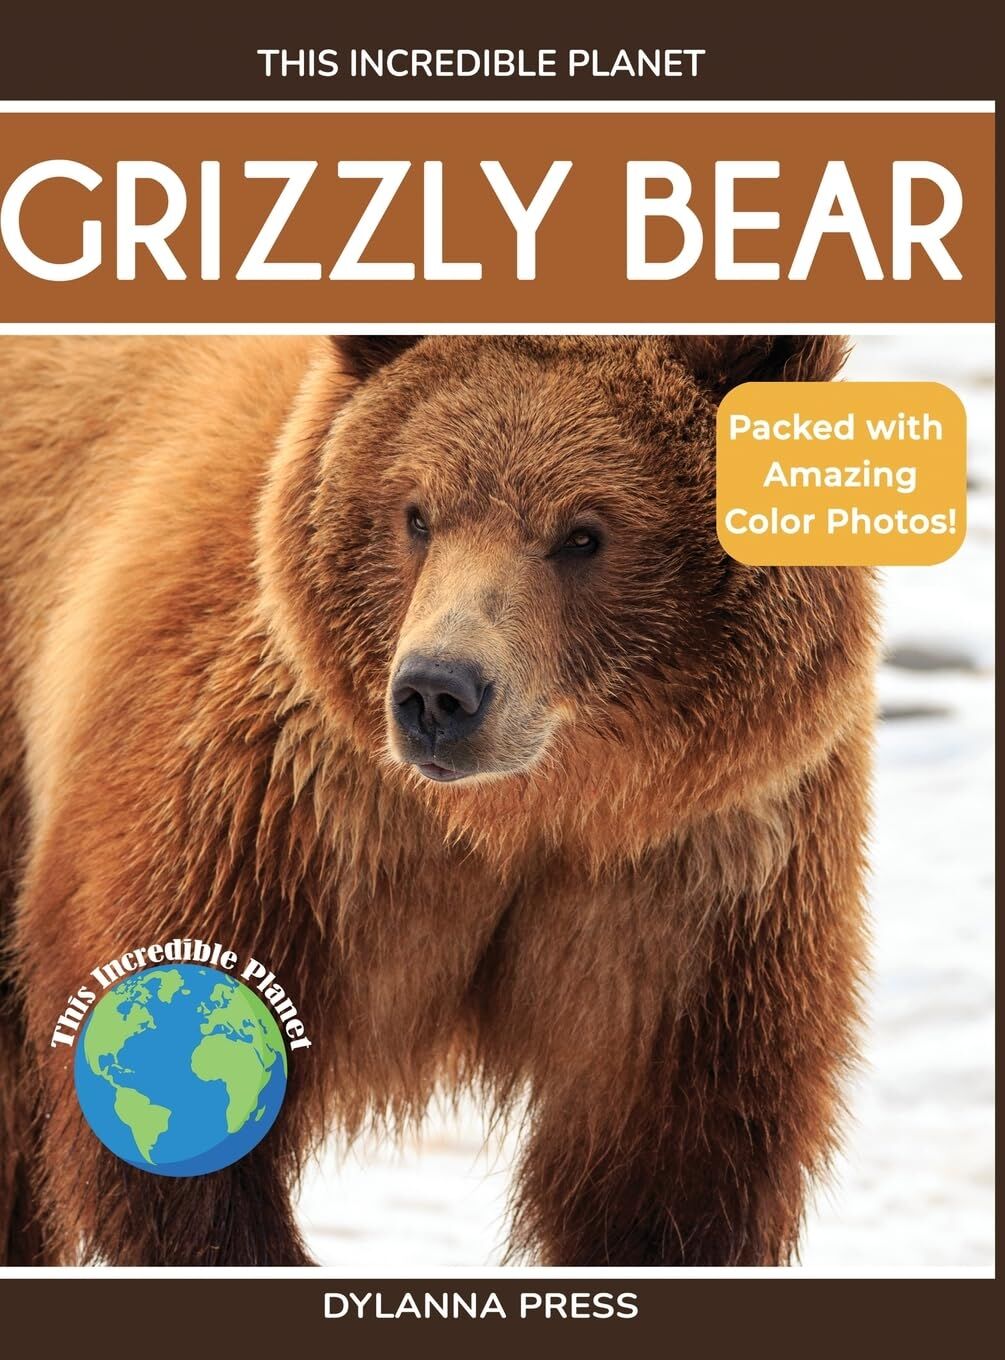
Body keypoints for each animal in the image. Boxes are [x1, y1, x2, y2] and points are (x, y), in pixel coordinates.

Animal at [0, 334, 875, 1267]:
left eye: (583, 532)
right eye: (416, 513)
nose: (436, 693)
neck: (519, 816)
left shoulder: (697, 890)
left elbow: (667, 1171)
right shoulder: (276, 822)